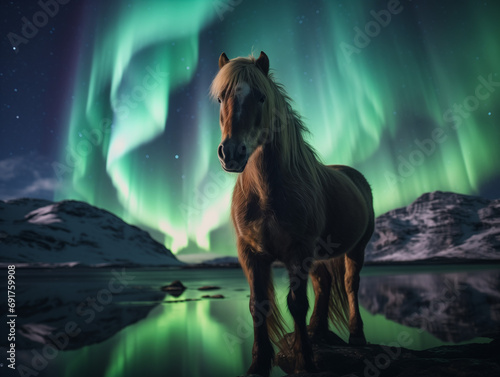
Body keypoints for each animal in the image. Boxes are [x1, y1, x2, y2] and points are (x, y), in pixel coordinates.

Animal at [209, 51, 374, 374]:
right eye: (221, 98)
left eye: (261, 97)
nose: (231, 153)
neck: (266, 193)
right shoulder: (250, 253)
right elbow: (258, 305)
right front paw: (259, 363)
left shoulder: (298, 250)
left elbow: (297, 304)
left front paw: (305, 362)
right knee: (324, 283)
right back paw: (317, 331)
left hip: (356, 249)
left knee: (351, 285)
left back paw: (356, 335)